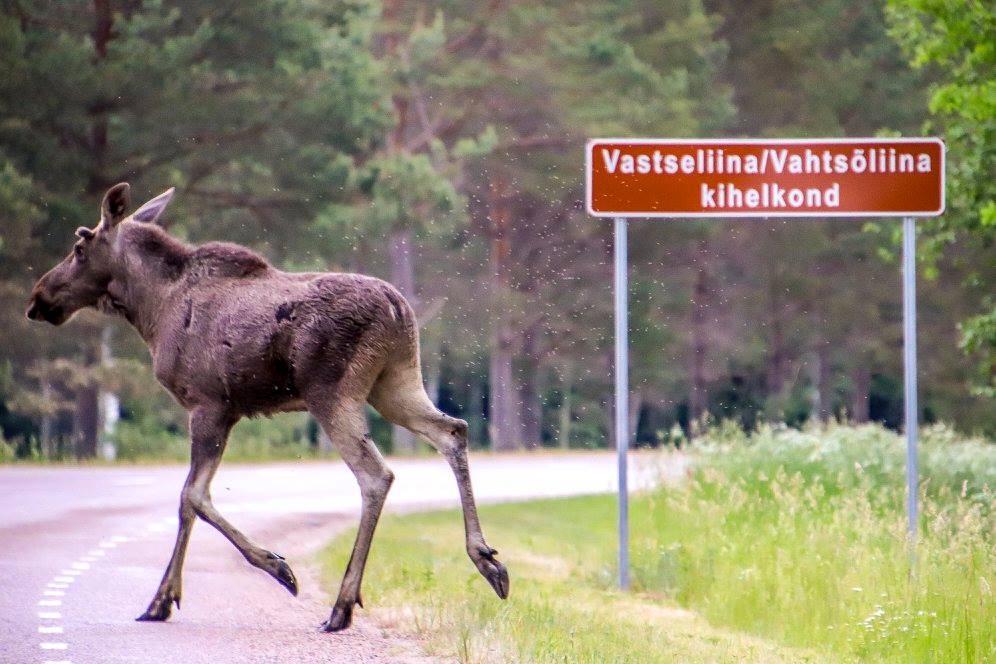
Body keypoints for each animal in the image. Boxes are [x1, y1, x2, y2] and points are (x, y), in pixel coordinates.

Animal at [27, 184, 510, 632]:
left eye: (79, 246)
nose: (37, 298)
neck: (150, 309)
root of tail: (398, 309)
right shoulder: (225, 411)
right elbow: (189, 501)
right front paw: (164, 598)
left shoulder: (208, 403)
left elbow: (192, 495)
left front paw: (272, 569)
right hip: (395, 382)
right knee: (452, 429)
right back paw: (487, 561)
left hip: (332, 393)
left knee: (377, 474)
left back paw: (341, 606)